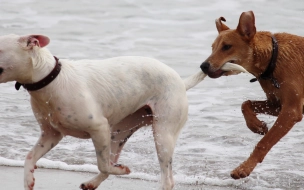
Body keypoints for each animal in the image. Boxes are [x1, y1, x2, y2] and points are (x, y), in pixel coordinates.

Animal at [0, 33, 247, 189]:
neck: (50, 78)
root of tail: (180, 81)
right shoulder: (51, 135)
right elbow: (29, 157)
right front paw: (28, 181)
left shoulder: (98, 127)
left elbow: (103, 164)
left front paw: (123, 171)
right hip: (119, 132)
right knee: (111, 160)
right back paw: (91, 183)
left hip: (162, 134)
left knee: (166, 178)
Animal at [201, 10, 302, 180]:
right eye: (212, 47)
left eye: (227, 47)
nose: (203, 66)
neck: (273, 59)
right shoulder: (277, 105)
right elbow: (245, 104)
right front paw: (257, 125)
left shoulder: (291, 111)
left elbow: (264, 143)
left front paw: (244, 168)